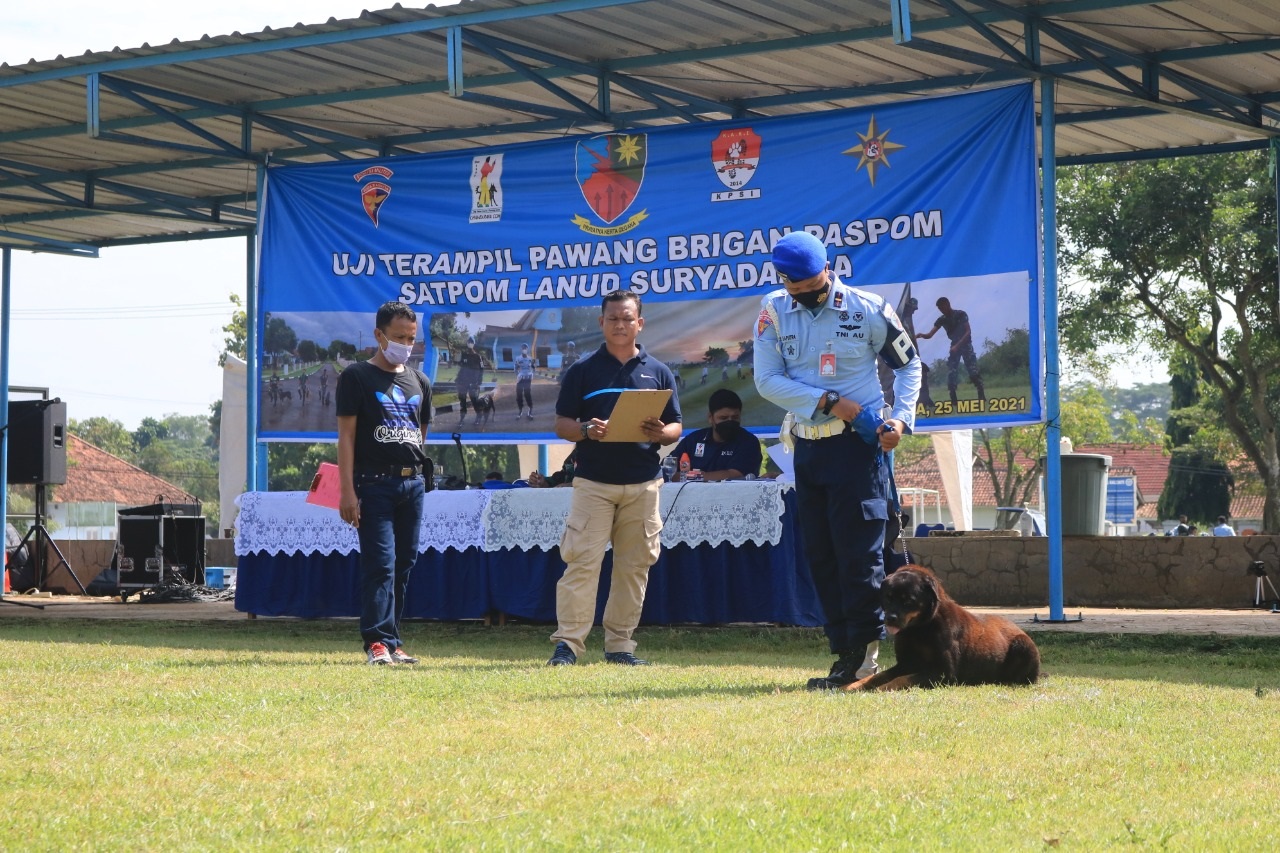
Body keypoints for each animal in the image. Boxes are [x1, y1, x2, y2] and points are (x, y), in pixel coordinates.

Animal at [849, 560, 1039, 686]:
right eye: (888, 598)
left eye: (908, 600)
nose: (890, 618)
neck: (918, 629)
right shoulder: (905, 663)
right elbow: (876, 676)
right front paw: (852, 686)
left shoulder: (944, 673)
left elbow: (900, 680)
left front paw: (882, 688)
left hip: (1023, 645)